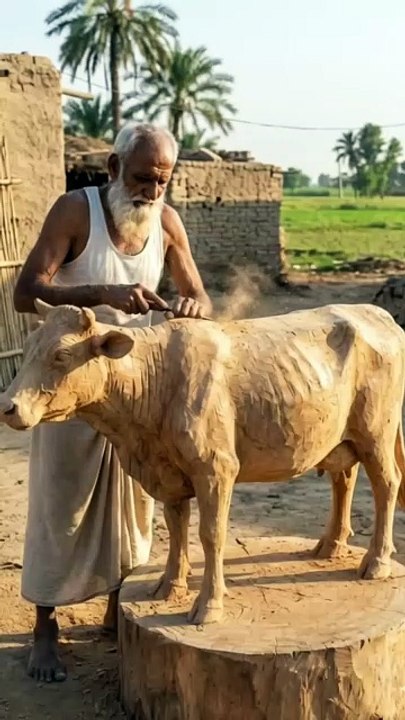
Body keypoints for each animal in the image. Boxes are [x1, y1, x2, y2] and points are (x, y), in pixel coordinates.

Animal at [1, 299, 405, 625]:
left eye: (61, 355)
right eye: (29, 348)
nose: (8, 406)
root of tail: (377, 313)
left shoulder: (215, 468)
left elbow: (211, 535)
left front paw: (209, 605)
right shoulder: (169, 473)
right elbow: (176, 527)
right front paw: (169, 586)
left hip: (376, 433)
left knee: (387, 485)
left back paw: (376, 562)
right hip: (340, 437)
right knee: (344, 480)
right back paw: (330, 546)